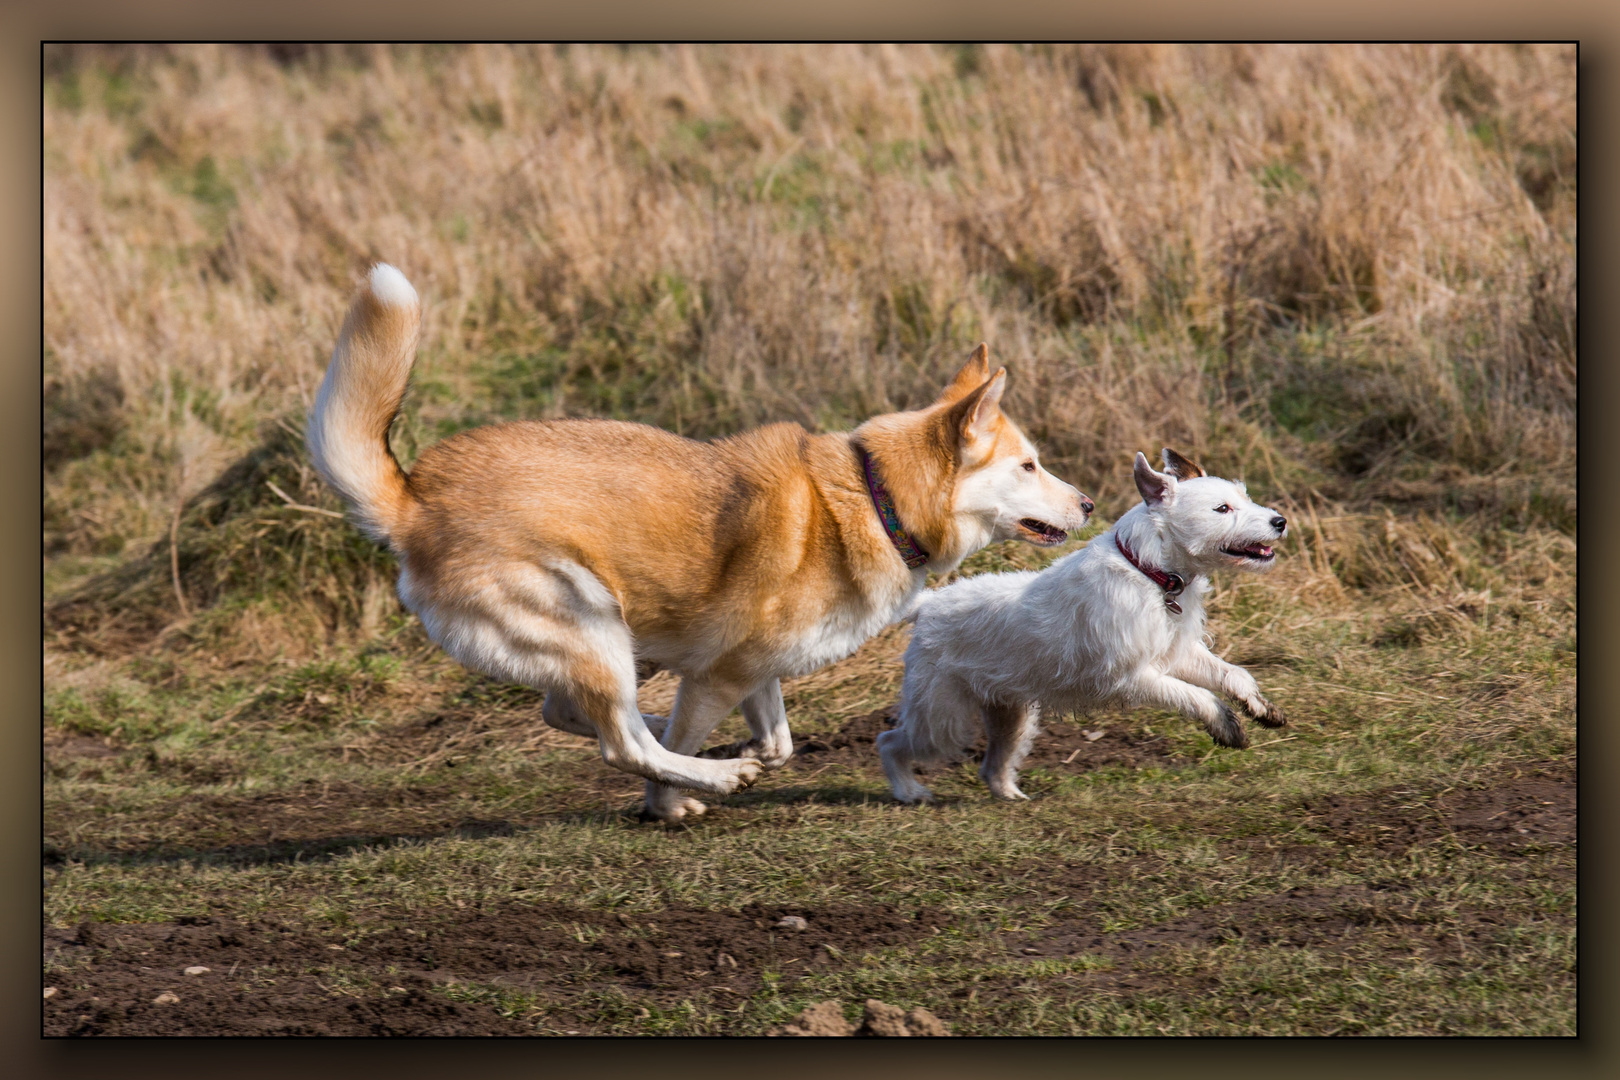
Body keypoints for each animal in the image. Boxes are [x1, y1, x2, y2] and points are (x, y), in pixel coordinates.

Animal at [306, 265, 1088, 822]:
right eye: (1029, 465)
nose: (1086, 503)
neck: (876, 498)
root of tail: (414, 502)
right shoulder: (720, 673)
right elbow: (683, 751)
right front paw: (677, 800)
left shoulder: (751, 668)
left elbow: (779, 740)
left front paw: (734, 758)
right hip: (589, 617)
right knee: (621, 741)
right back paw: (712, 769)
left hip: (603, 641)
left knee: (585, 715)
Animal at [881, 446, 1283, 803]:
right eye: (1222, 508)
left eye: (1244, 497)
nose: (1280, 522)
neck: (1150, 571)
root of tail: (928, 604)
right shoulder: (1133, 677)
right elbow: (1197, 696)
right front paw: (1226, 724)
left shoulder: (1178, 653)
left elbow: (1233, 674)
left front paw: (1259, 706)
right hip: (940, 720)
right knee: (889, 743)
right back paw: (908, 791)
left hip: (1011, 717)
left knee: (992, 765)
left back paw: (1009, 794)